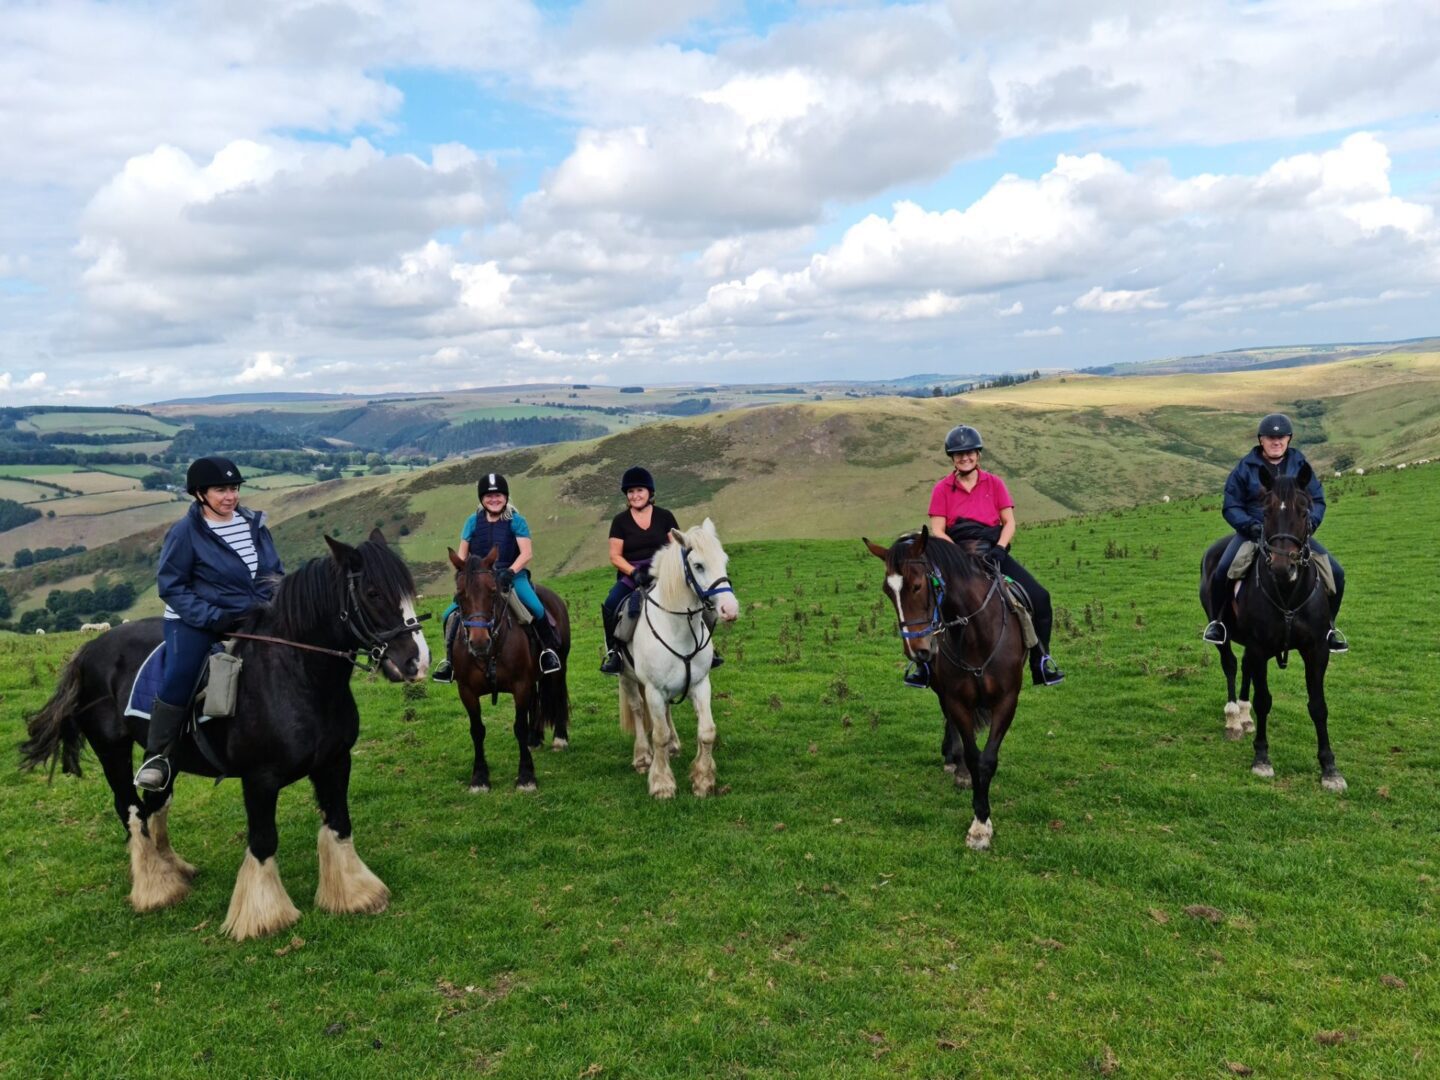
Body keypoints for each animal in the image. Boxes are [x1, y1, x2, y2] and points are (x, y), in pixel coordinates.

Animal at [19, 529, 429, 938]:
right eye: (373, 593)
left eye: (409, 590)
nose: (417, 662)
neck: (298, 675)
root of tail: (87, 649)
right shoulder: (260, 779)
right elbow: (263, 841)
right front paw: (264, 915)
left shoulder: (335, 762)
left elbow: (340, 824)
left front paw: (355, 895)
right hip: (112, 751)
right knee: (131, 810)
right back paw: (156, 889)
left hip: (167, 759)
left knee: (154, 805)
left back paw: (174, 871)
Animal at [446, 550, 570, 794]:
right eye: (459, 594)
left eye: (493, 591)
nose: (479, 642)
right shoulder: (467, 691)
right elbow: (477, 730)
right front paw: (480, 778)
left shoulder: (520, 686)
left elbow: (518, 727)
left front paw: (526, 776)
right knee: (535, 700)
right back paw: (534, 738)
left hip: (558, 669)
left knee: (557, 695)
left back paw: (559, 738)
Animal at [616, 521, 737, 800]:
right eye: (698, 565)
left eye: (724, 560)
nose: (730, 609)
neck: (677, 628)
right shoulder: (653, 689)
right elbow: (658, 735)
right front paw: (662, 784)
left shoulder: (701, 684)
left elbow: (707, 731)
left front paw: (703, 780)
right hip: (626, 678)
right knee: (637, 709)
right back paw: (642, 757)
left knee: (667, 711)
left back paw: (673, 745)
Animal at [858, 529, 1031, 852]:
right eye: (888, 592)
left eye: (917, 585)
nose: (917, 650)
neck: (976, 633)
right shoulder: (957, 698)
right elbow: (974, 756)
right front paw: (978, 819)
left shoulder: (1007, 700)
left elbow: (988, 759)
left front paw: (981, 825)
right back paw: (954, 762)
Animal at [1198, 466, 1342, 794]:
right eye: (1265, 511)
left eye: (1305, 510)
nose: (1281, 566)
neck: (1287, 593)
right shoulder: (1260, 645)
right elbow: (1265, 700)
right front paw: (1262, 759)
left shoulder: (1317, 650)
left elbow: (1319, 706)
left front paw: (1329, 768)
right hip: (1225, 635)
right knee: (1231, 664)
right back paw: (1233, 719)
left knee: (1246, 668)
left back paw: (1244, 714)